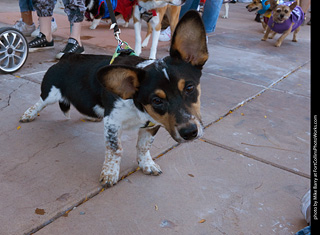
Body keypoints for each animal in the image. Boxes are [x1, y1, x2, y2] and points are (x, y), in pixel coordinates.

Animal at [20, 10, 210, 187]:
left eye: (190, 88)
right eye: (157, 101)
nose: (190, 133)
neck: (138, 107)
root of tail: (66, 57)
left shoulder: (152, 126)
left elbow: (144, 146)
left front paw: (147, 164)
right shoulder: (113, 123)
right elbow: (115, 149)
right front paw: (110, 173)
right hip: (50, 92)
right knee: (39, 102)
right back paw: (28, 115)